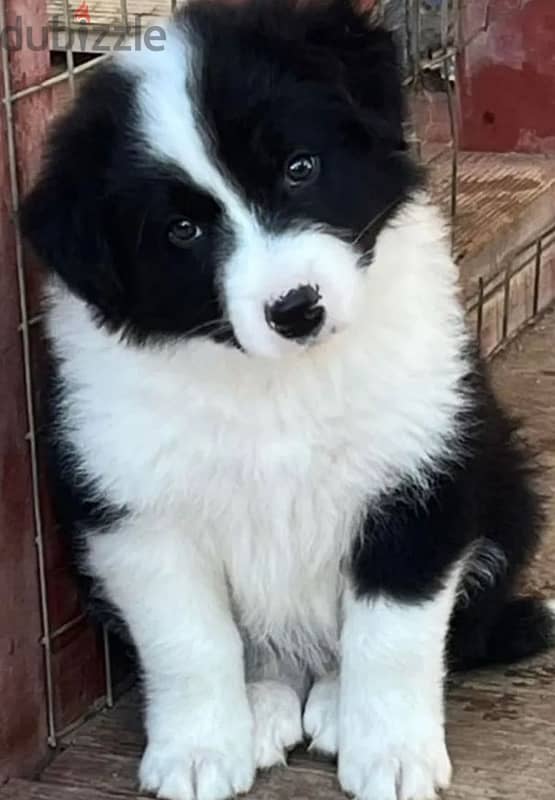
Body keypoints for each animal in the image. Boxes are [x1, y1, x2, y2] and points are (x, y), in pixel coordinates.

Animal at [20, 1, 552, 800]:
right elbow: (188, 640)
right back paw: (266, 704)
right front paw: (198, 752)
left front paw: (391, 753)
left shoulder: (419, 477)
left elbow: (393, 633)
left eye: (300, 168)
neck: (277, 385)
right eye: (183, 230)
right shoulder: (135, 513)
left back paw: (331, 704)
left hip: (505, 485)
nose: (296, 309)